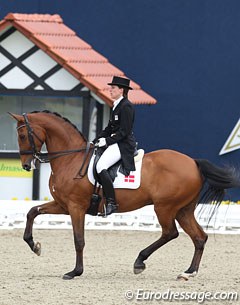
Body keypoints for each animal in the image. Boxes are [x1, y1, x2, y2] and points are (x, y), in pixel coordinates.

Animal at [9, 110, 240, 280]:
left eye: (22, 136)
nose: (26, 165)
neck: (70, 159)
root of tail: (193, 162)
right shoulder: (63, 205)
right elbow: (32, 211)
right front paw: (34, 246)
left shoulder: (76, 207)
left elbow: (78, 239)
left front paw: (75, 272)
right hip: (183, 209)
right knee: (199, 237)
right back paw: (188, 272)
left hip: (165, 207)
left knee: (170, 233)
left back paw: (140, 261)